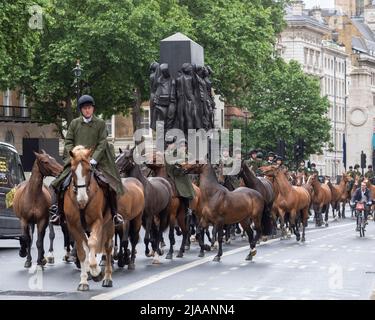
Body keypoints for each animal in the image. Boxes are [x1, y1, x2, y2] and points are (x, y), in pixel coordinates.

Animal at [64, 146, 114, 292]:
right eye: (72, 171)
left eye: (89, 170)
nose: (82, 200)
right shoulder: (74, 226)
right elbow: (82, 252)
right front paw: (84, 281)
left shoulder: (97, 222)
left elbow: (92, 243)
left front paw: (97, 272)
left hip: (109, 225)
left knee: (108, 248)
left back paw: (107, 278)